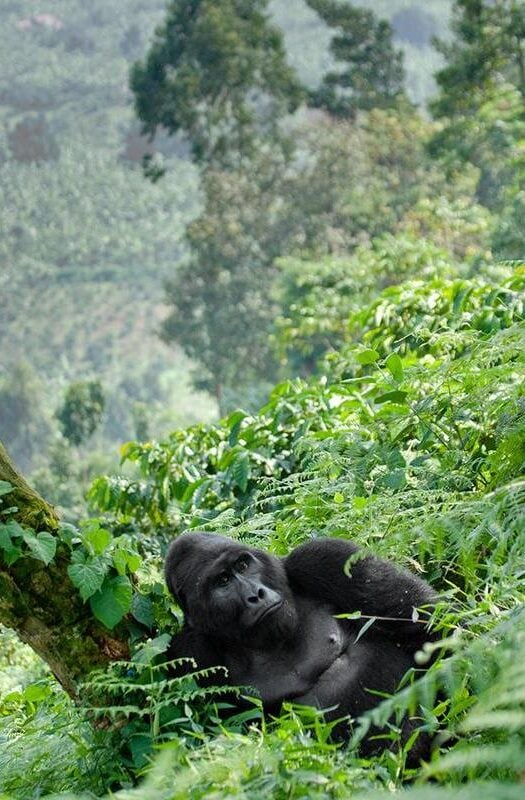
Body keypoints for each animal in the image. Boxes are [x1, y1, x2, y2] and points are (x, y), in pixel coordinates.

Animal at [165, 536, 438, 760]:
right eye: (222, 581)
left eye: (243, 565)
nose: (257, 594)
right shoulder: (190, 651)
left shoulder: (324, 558)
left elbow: (428, 624)